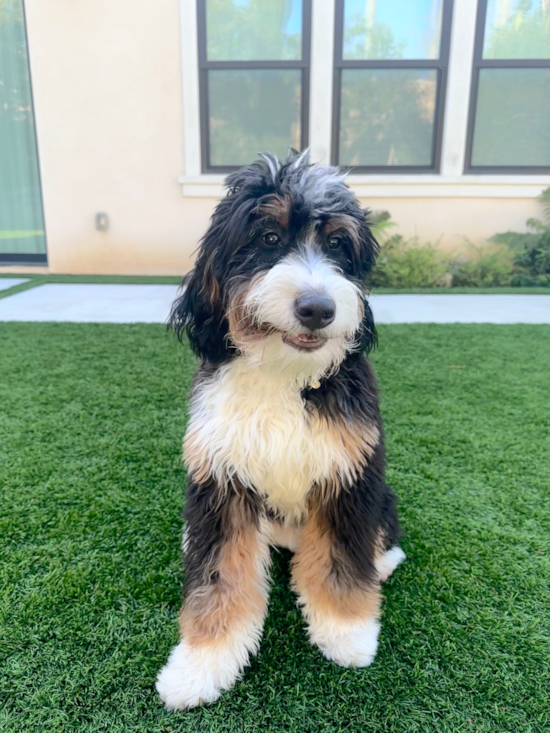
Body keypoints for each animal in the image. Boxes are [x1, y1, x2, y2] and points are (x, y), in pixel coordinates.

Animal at [157, 150, 408, 708]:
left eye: (337, 244)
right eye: (268, 238)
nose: (318, 308)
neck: (284, 372)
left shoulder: (348, 474)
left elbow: (341, 557)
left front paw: (346, 632)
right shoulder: (221, 478)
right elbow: (219, 575)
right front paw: (200, 665)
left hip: (381, 493)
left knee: (379, 535)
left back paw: (381, 561)